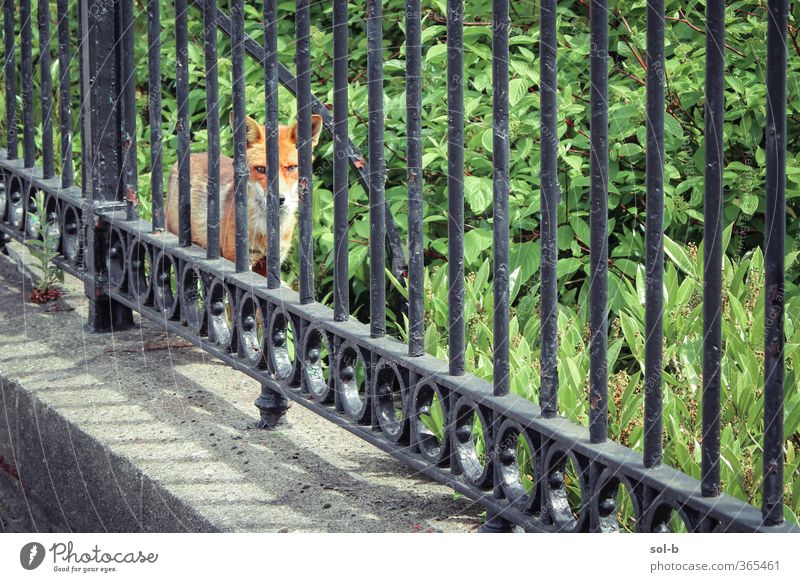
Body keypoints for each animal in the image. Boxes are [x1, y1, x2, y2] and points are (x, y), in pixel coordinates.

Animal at [164, 113, 324, 274]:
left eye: (291, 168)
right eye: (260, 169)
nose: (279, 199)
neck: (265, 231)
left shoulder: (270, 263)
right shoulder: (237, 259)